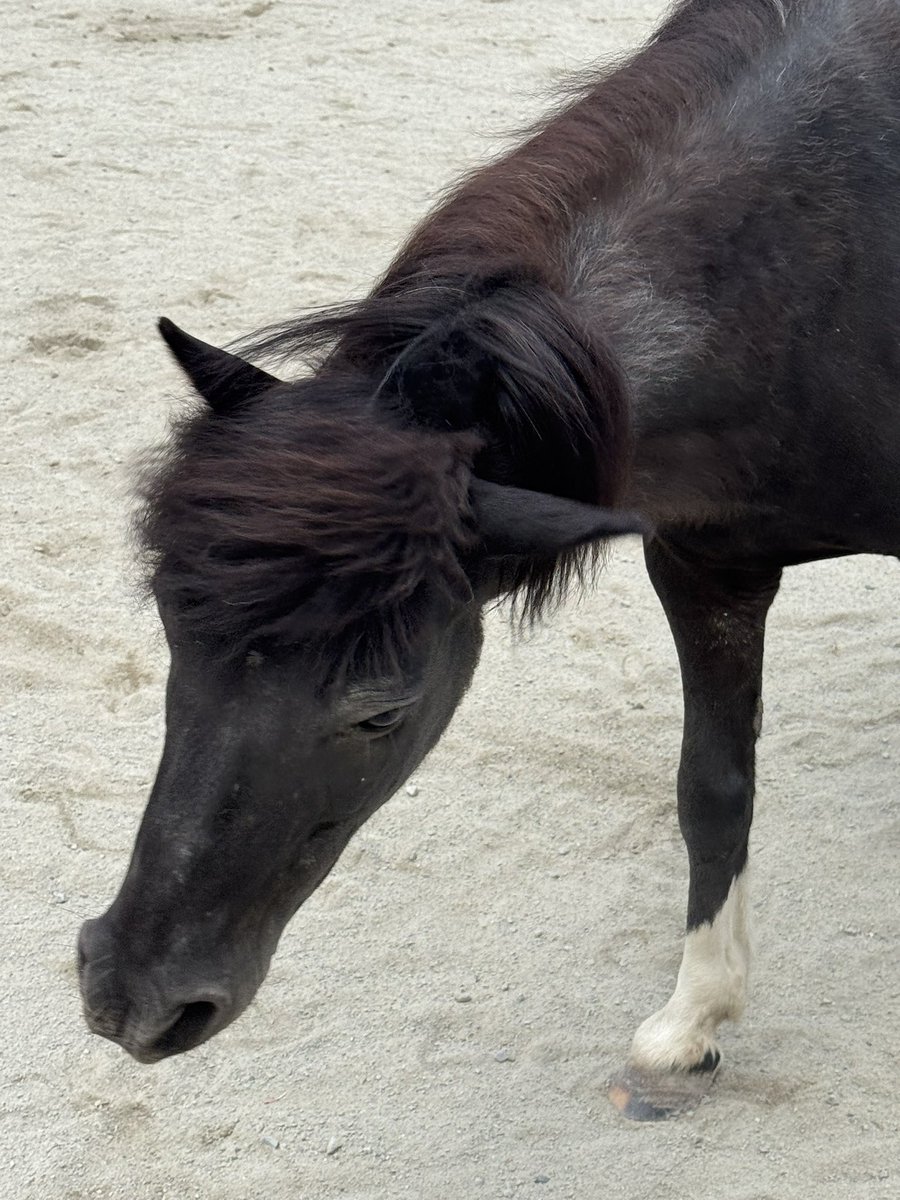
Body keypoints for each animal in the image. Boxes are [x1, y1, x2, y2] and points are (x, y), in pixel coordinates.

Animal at [78, 0, 900, 1121]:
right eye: (173, 641)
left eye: (382, 710)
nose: (133, 996)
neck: (833, 255)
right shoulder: (706, 566)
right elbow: (713, 785)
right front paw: (691, 1024)